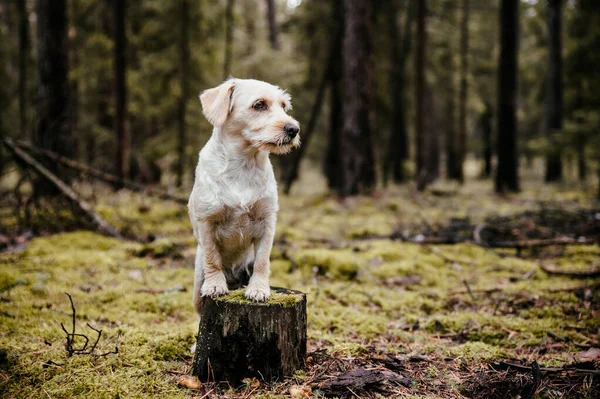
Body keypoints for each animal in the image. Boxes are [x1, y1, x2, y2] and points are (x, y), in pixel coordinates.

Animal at [188, 76, 300, 310]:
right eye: (259, 105)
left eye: (283, 106)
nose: (294, 129)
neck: (244, 163)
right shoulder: (207, 221)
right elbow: (213, 258)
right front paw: (215, 285)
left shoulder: (267, 222)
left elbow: (263, 260)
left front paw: (258, 290)